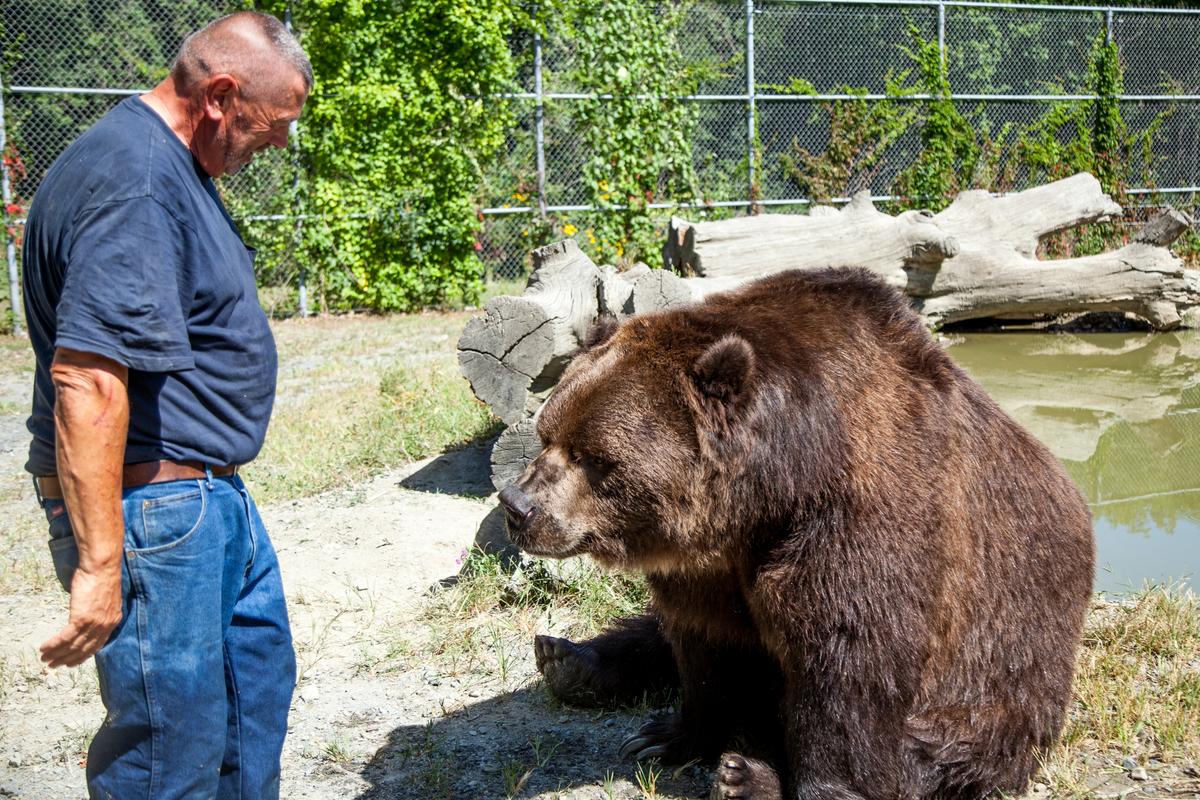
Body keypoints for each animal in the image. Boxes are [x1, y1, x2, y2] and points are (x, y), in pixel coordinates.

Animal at [496, 268, 1099, 800]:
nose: (516, 505)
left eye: (594, 457)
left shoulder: (865, 520)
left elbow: (847, 665)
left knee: (947, 753)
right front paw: (670, 735)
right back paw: (569, 660)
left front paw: (773, 779)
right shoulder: (707, 564)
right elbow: (700, 640)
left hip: (1005, 672)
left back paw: (747, 774)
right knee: (651, 632)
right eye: (547, 433)